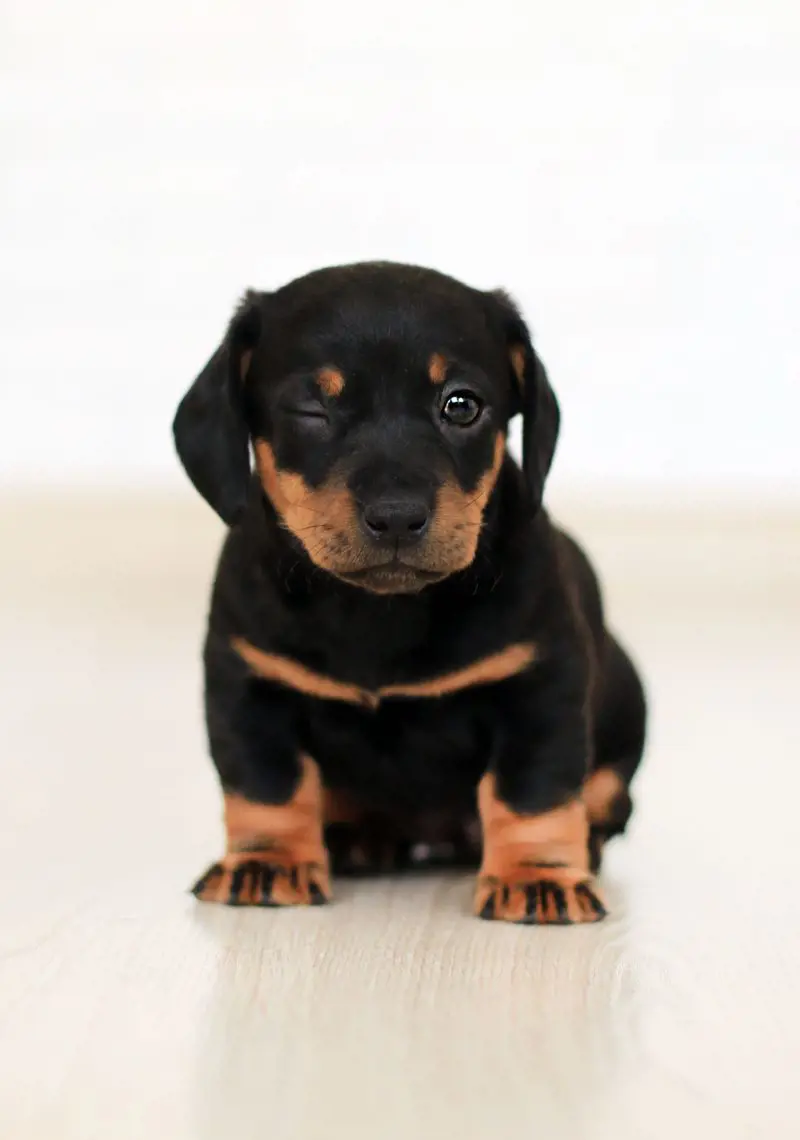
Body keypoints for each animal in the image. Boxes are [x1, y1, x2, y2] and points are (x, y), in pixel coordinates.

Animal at [174, 262, 647, 921]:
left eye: (462, 405)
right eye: (311, 409)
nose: (396, 516)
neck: (379, 613)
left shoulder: (540, 685)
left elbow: (533, 790)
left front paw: (537, 876)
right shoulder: (248, 685)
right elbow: (266, 785)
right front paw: (268, 863)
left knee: (606, 801)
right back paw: (353, 840)